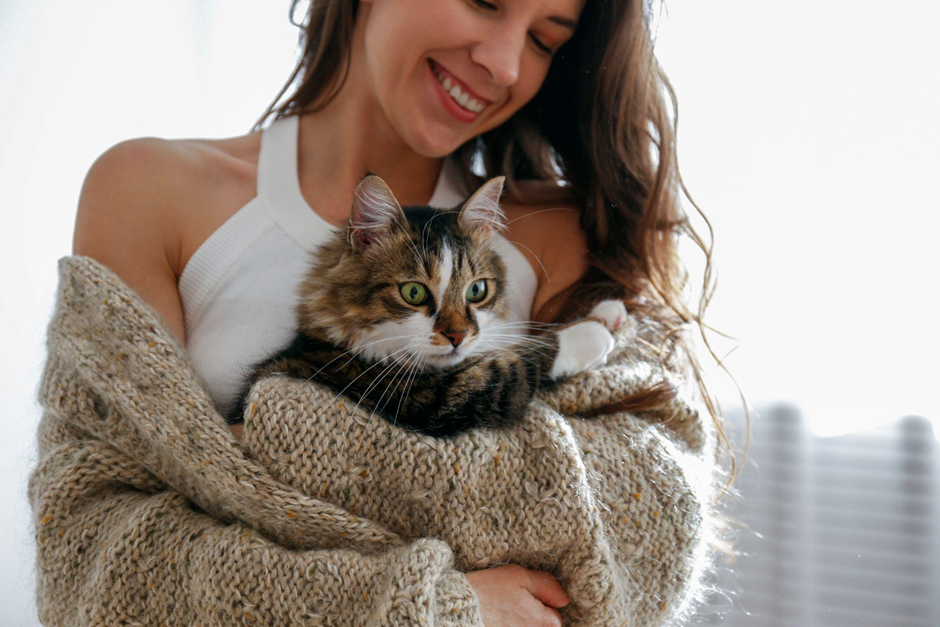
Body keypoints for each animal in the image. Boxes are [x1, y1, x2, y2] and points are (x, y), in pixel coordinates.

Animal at [224, 172, 628, 436]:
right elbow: (524, 356)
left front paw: (609, 313)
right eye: (414, 294)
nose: (458, 336)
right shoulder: (439, 397)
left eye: (476, 291)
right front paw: (595, 331)